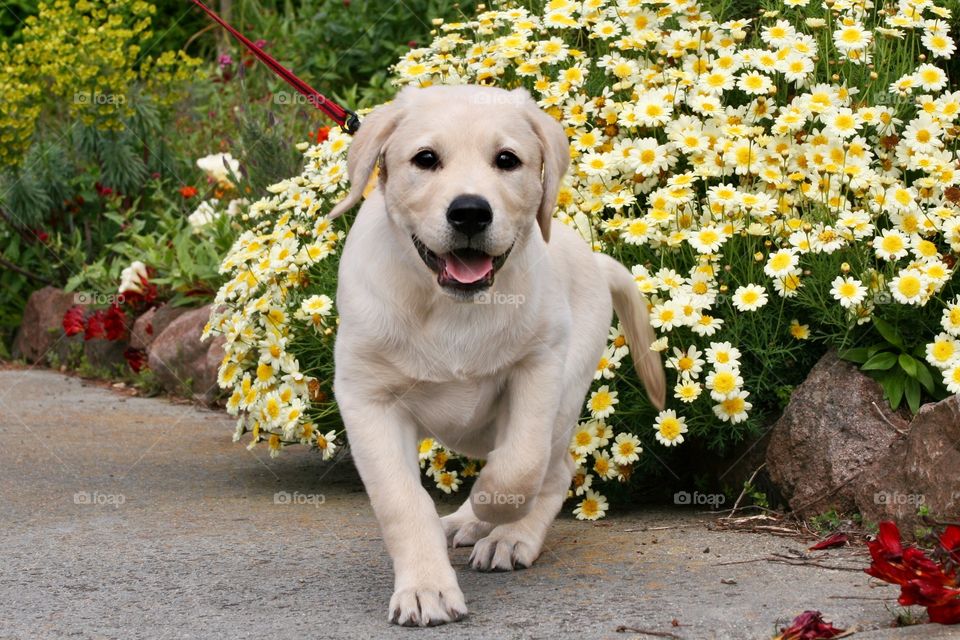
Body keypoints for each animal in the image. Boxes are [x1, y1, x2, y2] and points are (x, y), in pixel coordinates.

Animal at [326, 84, 664, 624]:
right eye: (425, 159)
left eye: (507, 160)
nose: (469, 212)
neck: (450, 307)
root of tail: (595, 260)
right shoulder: (367, 398)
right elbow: (402, 501)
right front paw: (425, 588)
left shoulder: (538, 367)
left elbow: (519, 467)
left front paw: (492, 508)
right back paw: (465, 522)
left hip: (564, 391)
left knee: (553, 468)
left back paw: (509, 535)